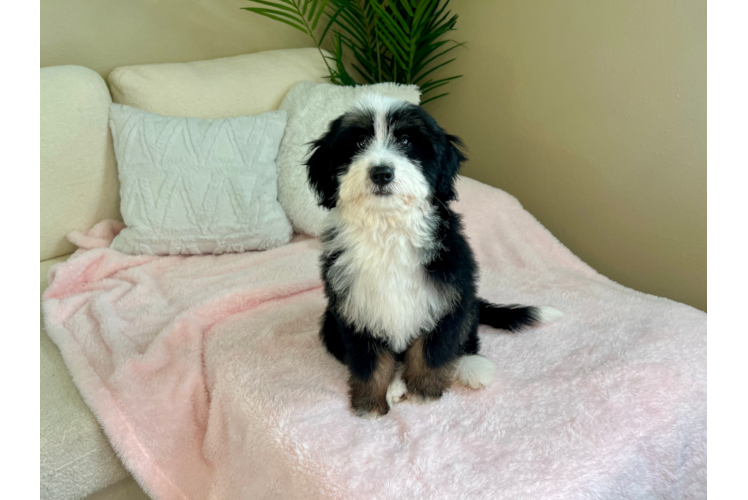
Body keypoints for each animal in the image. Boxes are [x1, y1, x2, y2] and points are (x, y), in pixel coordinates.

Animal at [306, 94, 560, 418]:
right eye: (359, 143)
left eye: (405, 140)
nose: (381, 172)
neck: (388, 229)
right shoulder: (354, 306)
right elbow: (368, 360)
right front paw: (371, 403)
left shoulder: (446, 294)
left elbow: (434, 349)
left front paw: (424, 390)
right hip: (329, 324)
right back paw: (395, 385)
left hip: (466, 300)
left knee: (467, 338)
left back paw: (471, 367)